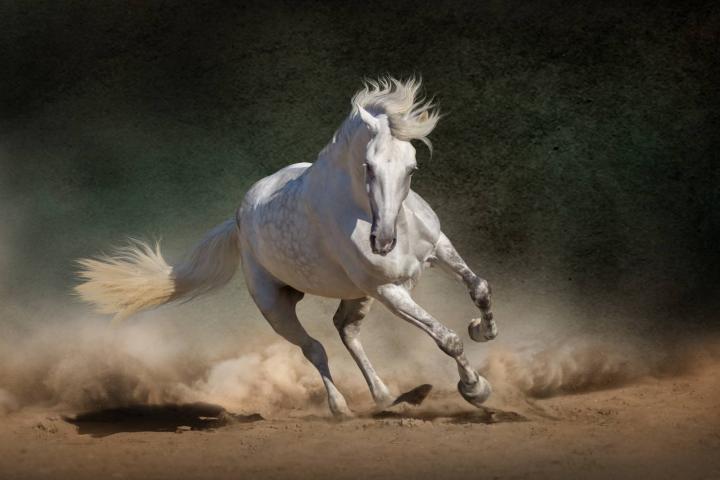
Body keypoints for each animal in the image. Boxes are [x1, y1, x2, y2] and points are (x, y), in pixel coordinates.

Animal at [75, 77, 498, 417]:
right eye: (368, 166)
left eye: (412, 168)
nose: (383, 242)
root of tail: (239, 219)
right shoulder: (389, 290)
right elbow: (447, 338)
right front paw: (475, 389)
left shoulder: (438, 248)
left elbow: (479, 288)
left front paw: (483, 330)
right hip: (276, 306)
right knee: (315, 348)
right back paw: (342, 407)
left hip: (355, 293)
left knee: (345, 330)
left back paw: (388, 396)